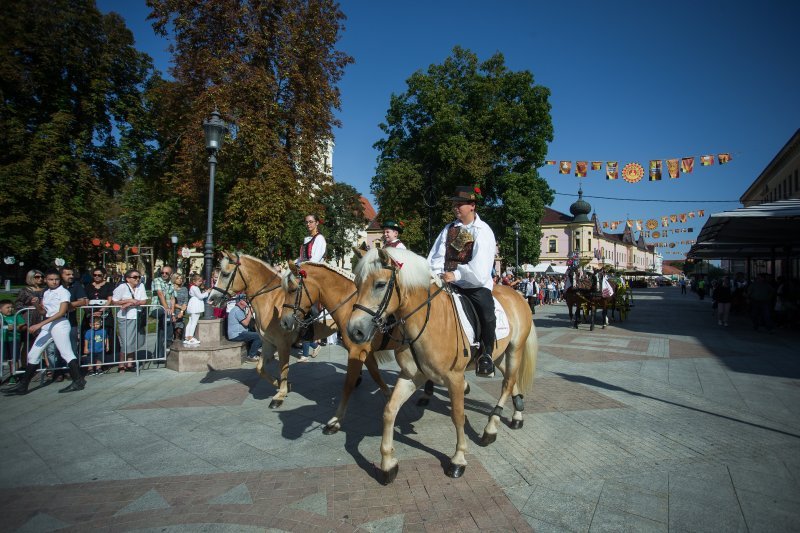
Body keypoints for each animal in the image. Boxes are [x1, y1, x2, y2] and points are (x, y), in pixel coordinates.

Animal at [209, 252, 334, 408]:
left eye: (225, 274)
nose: (211, 299)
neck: (270, 301)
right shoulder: (268, 343)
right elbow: (260, 368)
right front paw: (282, 386)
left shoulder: (282, 344)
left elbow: (283, 368)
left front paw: (280, 395)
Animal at [278, 260, 396, 432]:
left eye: (293, 290)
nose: (284, 323)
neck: (350, 307)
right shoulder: (364, 352)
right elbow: (376, 375)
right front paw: (390, 397)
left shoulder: (356, 351)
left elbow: (348, 385)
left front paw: (336, 420)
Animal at [346, 247, 536, 484]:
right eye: (356, 284)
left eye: (380, 284)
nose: (354, 331)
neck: (427, 322)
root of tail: (517, 295)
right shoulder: (411, 376)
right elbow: (389, 410)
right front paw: (388, 464)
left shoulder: (455, 378)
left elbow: (458, 415)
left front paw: (458, 459)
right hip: (499, 355)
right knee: (511, 380)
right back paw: (517, 414)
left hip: (514, 350)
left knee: (507, 383)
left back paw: (490, 429)